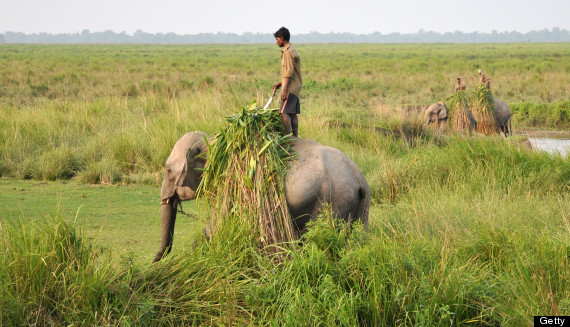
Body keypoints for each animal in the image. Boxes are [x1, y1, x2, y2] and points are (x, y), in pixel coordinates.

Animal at [153, 132, 370, 262]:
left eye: (168, 170)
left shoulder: (231, 183)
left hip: (332, 201)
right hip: (357, 205)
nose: (153, 262)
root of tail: (360, 178)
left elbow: (219, 225)